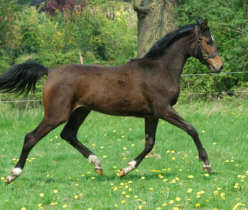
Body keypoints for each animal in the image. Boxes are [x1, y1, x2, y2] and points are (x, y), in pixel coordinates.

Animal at [0, 18, 223, 183]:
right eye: (208, 41)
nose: (219, 66)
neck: (160, 69)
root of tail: (51, 71)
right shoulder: (164, 109)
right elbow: (192, 129)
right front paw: (206, 164)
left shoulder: (152, 114)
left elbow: (149, 143)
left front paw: (125, 169)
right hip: (56, 114)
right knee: (31, 137)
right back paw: (13, 175)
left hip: (80, 111)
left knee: (68, 134)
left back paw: (97, 164)